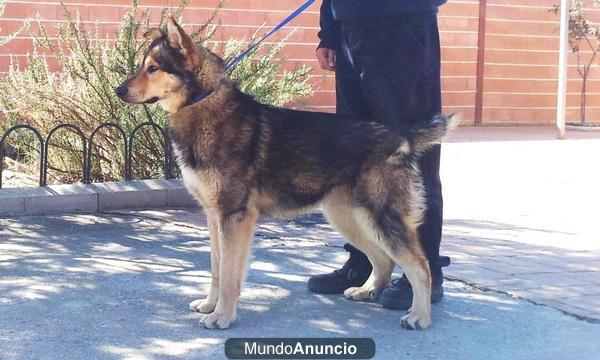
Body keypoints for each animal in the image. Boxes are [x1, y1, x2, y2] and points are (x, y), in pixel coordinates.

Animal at [115, 18, 458, 330]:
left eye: (153, 68)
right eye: (143, 66)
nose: (118, 90)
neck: (203, 101)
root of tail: (401, 137)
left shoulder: (234, 219)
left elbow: (229, 276)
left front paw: (222, 316)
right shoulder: (215, 217)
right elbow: (216, 269)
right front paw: (211, 305)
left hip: (381, 220)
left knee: (421, 266)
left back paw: (419, 316)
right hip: (351, 218)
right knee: (384, 260)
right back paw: (368, 290)